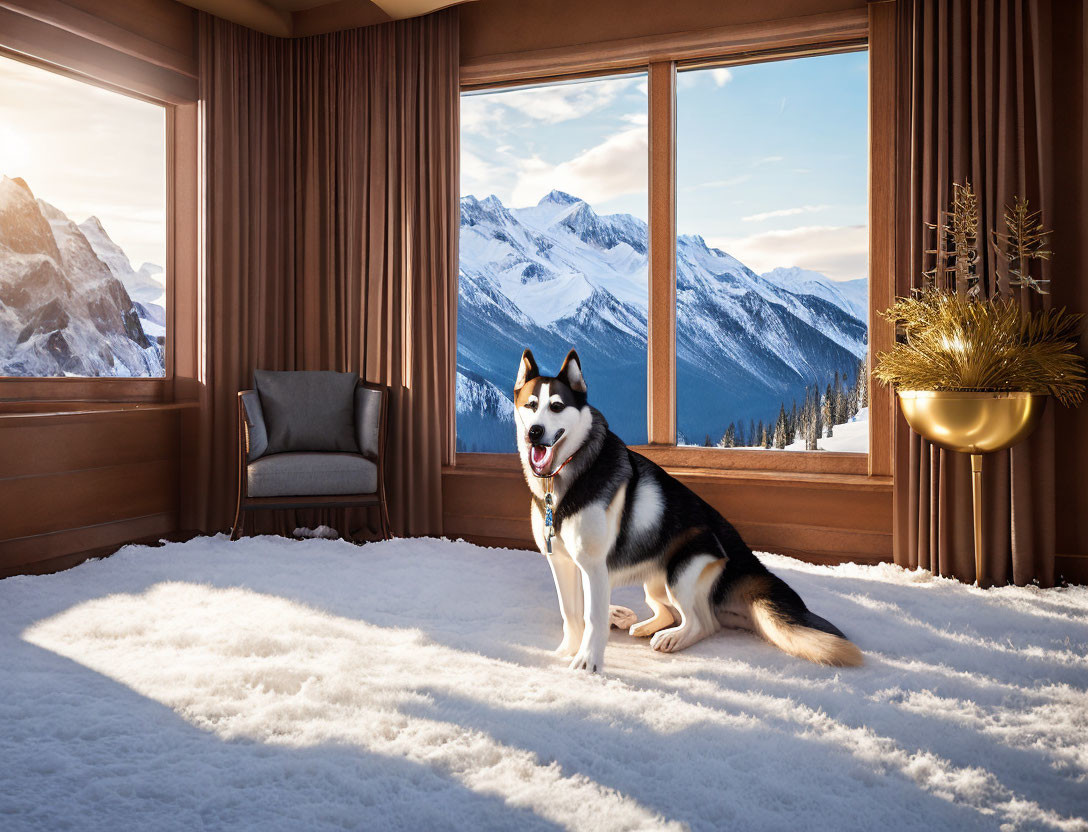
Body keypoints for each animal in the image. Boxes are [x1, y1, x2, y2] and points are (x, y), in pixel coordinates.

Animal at [513, 348, 861, 669]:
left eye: (556, 406)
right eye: (530, 405)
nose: (535, 432)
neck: (565, 477)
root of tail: (742, 557)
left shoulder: (594, 567)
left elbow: (592, 617)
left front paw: (588, 662)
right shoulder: (562, 563)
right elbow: (571, 612)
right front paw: (566, 651)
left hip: (679, 571)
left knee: (704, 622)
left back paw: (673, 638)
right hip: (654, 583)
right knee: (669, 612)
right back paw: (640, 624)